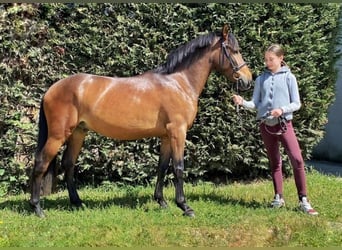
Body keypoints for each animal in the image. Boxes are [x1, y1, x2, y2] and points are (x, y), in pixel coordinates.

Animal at [29, 24, 252, 218]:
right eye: (234, 50)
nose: (248, 80)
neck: (178, 83)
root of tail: (51, 89)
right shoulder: (178, 132)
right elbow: (178, 168)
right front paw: (185, 206)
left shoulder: (166, 136)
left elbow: (162, 167)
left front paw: (162, 202)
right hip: (58, 135)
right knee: (41, 162)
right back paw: (38, 209)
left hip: (78, 132)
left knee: (68, 164)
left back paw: (77, 202)